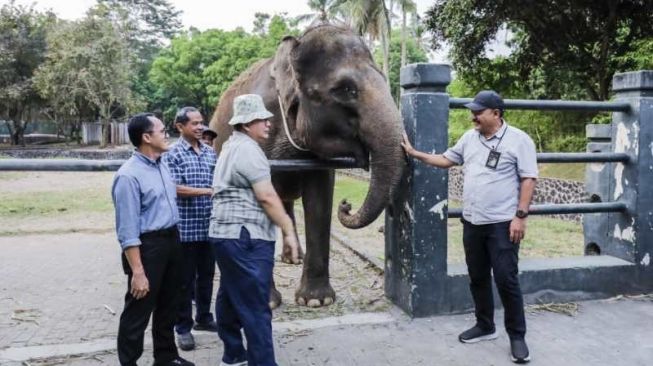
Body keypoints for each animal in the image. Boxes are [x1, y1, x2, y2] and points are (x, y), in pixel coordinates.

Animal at [209, 24, 402, 308]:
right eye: (345, 90)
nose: (346, 204)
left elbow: (319, 200)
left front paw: (316, 302)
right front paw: (268, 303)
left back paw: (293, 258)